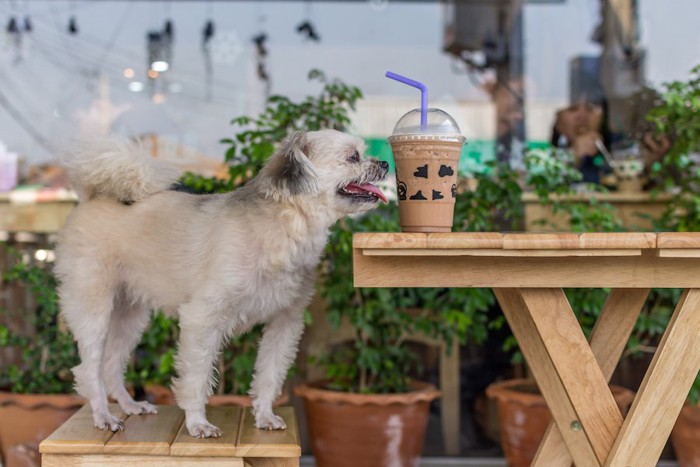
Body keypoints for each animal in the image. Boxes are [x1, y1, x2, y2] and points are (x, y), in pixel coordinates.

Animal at [56, 130, 388, 436]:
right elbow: (196, 377)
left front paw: (264, 416)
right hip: (94, 311)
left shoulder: (285, 323)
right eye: (353, 157)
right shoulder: (202, 319)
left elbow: (269, 376)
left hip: (130, 316)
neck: (281, 226)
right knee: (90, 368)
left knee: (112, 364)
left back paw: (129, 406)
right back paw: (103, 416)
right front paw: (197, 423)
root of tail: (93, 196)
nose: (385, 163)